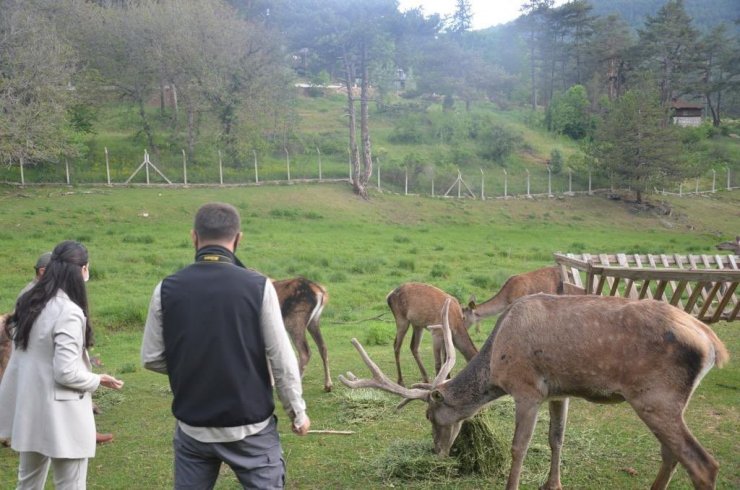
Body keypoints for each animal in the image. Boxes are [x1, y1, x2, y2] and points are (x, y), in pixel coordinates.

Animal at [342, 294, 728, 490]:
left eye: (430, 416)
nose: (436, 452)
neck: (497, 358)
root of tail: (713, 344)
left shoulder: (527, 389)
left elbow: (519, 447)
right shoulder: (560, 392)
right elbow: (557, 438)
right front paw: (551, 484)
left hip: (655, 397)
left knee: (703, 464)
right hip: (664, 402)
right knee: (672, 455)